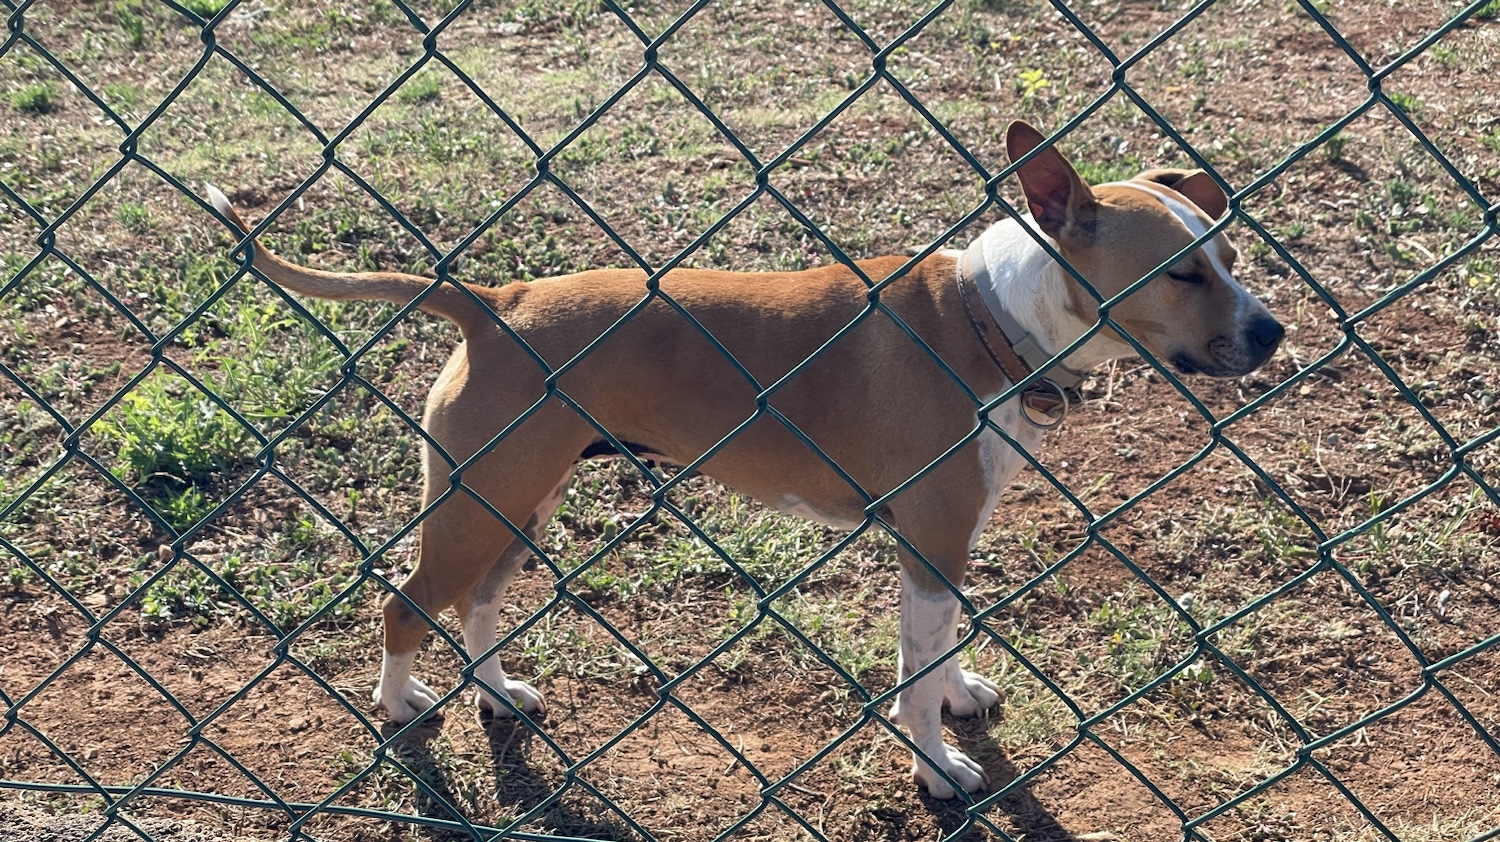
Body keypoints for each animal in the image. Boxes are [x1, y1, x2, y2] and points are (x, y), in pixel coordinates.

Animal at [207, 120, 1282, 799]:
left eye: (1229, 258)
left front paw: (957, 696)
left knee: (475, 605)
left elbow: (933, 654)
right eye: (1182, 272)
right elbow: (913, 679)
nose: (1273, 333)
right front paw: (938, 768)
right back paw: (398, 706)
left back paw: (498, 692)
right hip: (481, 506)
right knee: (405, 603)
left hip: (518, 502)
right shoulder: (929, 545)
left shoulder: (938, 549)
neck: (990, 319)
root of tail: (494, 300)